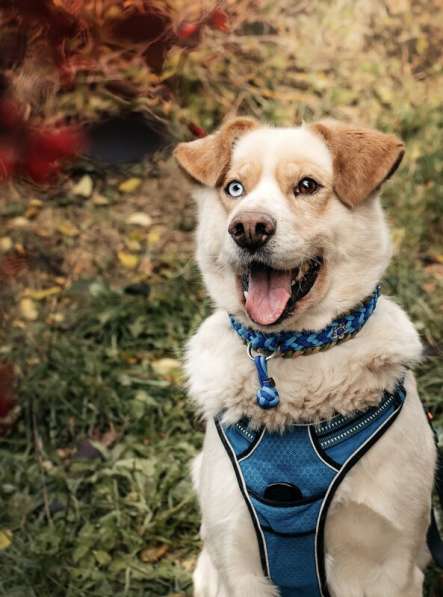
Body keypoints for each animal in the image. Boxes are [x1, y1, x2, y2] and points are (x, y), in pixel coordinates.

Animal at [173, 117, 438, 596]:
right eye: (235, 188)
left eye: (307, 186)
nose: (249, 227)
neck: (295, 358)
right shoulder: (238, 562)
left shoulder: (390, 562)